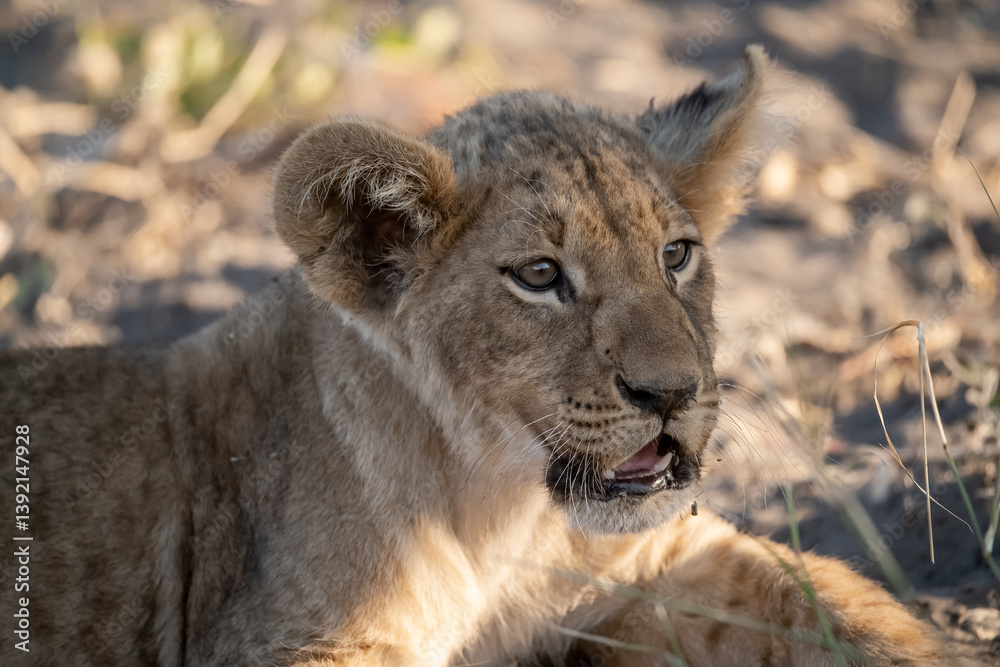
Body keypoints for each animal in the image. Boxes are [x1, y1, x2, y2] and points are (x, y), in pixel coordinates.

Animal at [1, 46, 950, 666]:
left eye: (676, 255)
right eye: (540, 276)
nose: (673, 392)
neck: (505, 514)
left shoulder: (658, 561)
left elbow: (832, 604)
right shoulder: (289, 638)